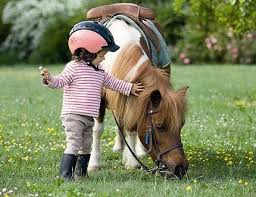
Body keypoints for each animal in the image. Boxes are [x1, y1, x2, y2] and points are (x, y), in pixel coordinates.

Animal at [87, 10, 189, 179]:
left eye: (181, 125)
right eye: (160, 126)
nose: (181, 168)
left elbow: (132, 126)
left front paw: (132, 161)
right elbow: (97, 130)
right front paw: (94, 164)